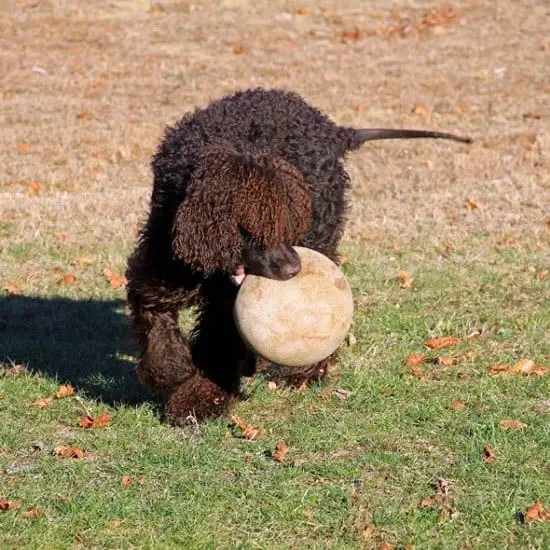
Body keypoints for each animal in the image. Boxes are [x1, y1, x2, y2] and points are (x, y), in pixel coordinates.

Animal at [127, 89, 472, 426]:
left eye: (289, 223)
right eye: (254, 229)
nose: (295, 268)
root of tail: (332, 130)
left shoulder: (225, 302)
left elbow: (218, 345)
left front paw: (199, 400)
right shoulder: (161, 262)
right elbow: (155, 319)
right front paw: (171, 372)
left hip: (323, 232)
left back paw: (305, 372)